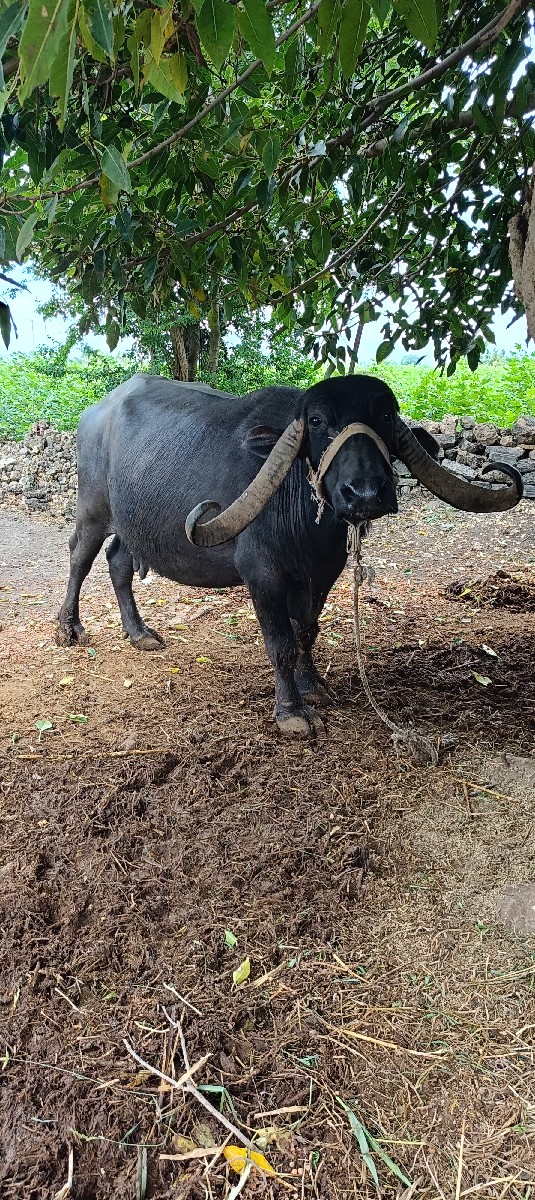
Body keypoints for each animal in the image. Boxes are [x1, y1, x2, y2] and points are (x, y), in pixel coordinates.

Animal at [57, 373, 522, 736]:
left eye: (387, 416)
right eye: (316, 421)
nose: (366, 492)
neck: (305, 521)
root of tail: (95, 412)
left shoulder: (322, 574)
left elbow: (306, 632)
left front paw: (312, 683)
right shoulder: (262, 574)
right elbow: (280, 642)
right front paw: (293, 712)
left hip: (130, 523)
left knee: (118, 560)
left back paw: (139, 633)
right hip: (93, 506)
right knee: (80, 555)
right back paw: (69, 629)